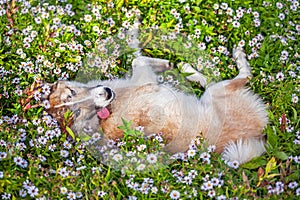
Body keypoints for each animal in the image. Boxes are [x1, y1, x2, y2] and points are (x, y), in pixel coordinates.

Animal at [44, 47, 268, 164]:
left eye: (72, 93)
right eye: (80, 111)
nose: (106, 93)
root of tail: (257, 134)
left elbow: (136, 59)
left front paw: (165, 63)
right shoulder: (146, 80)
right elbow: (139, 61)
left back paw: (189, 68)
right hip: (216, 92)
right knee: (242, 76)